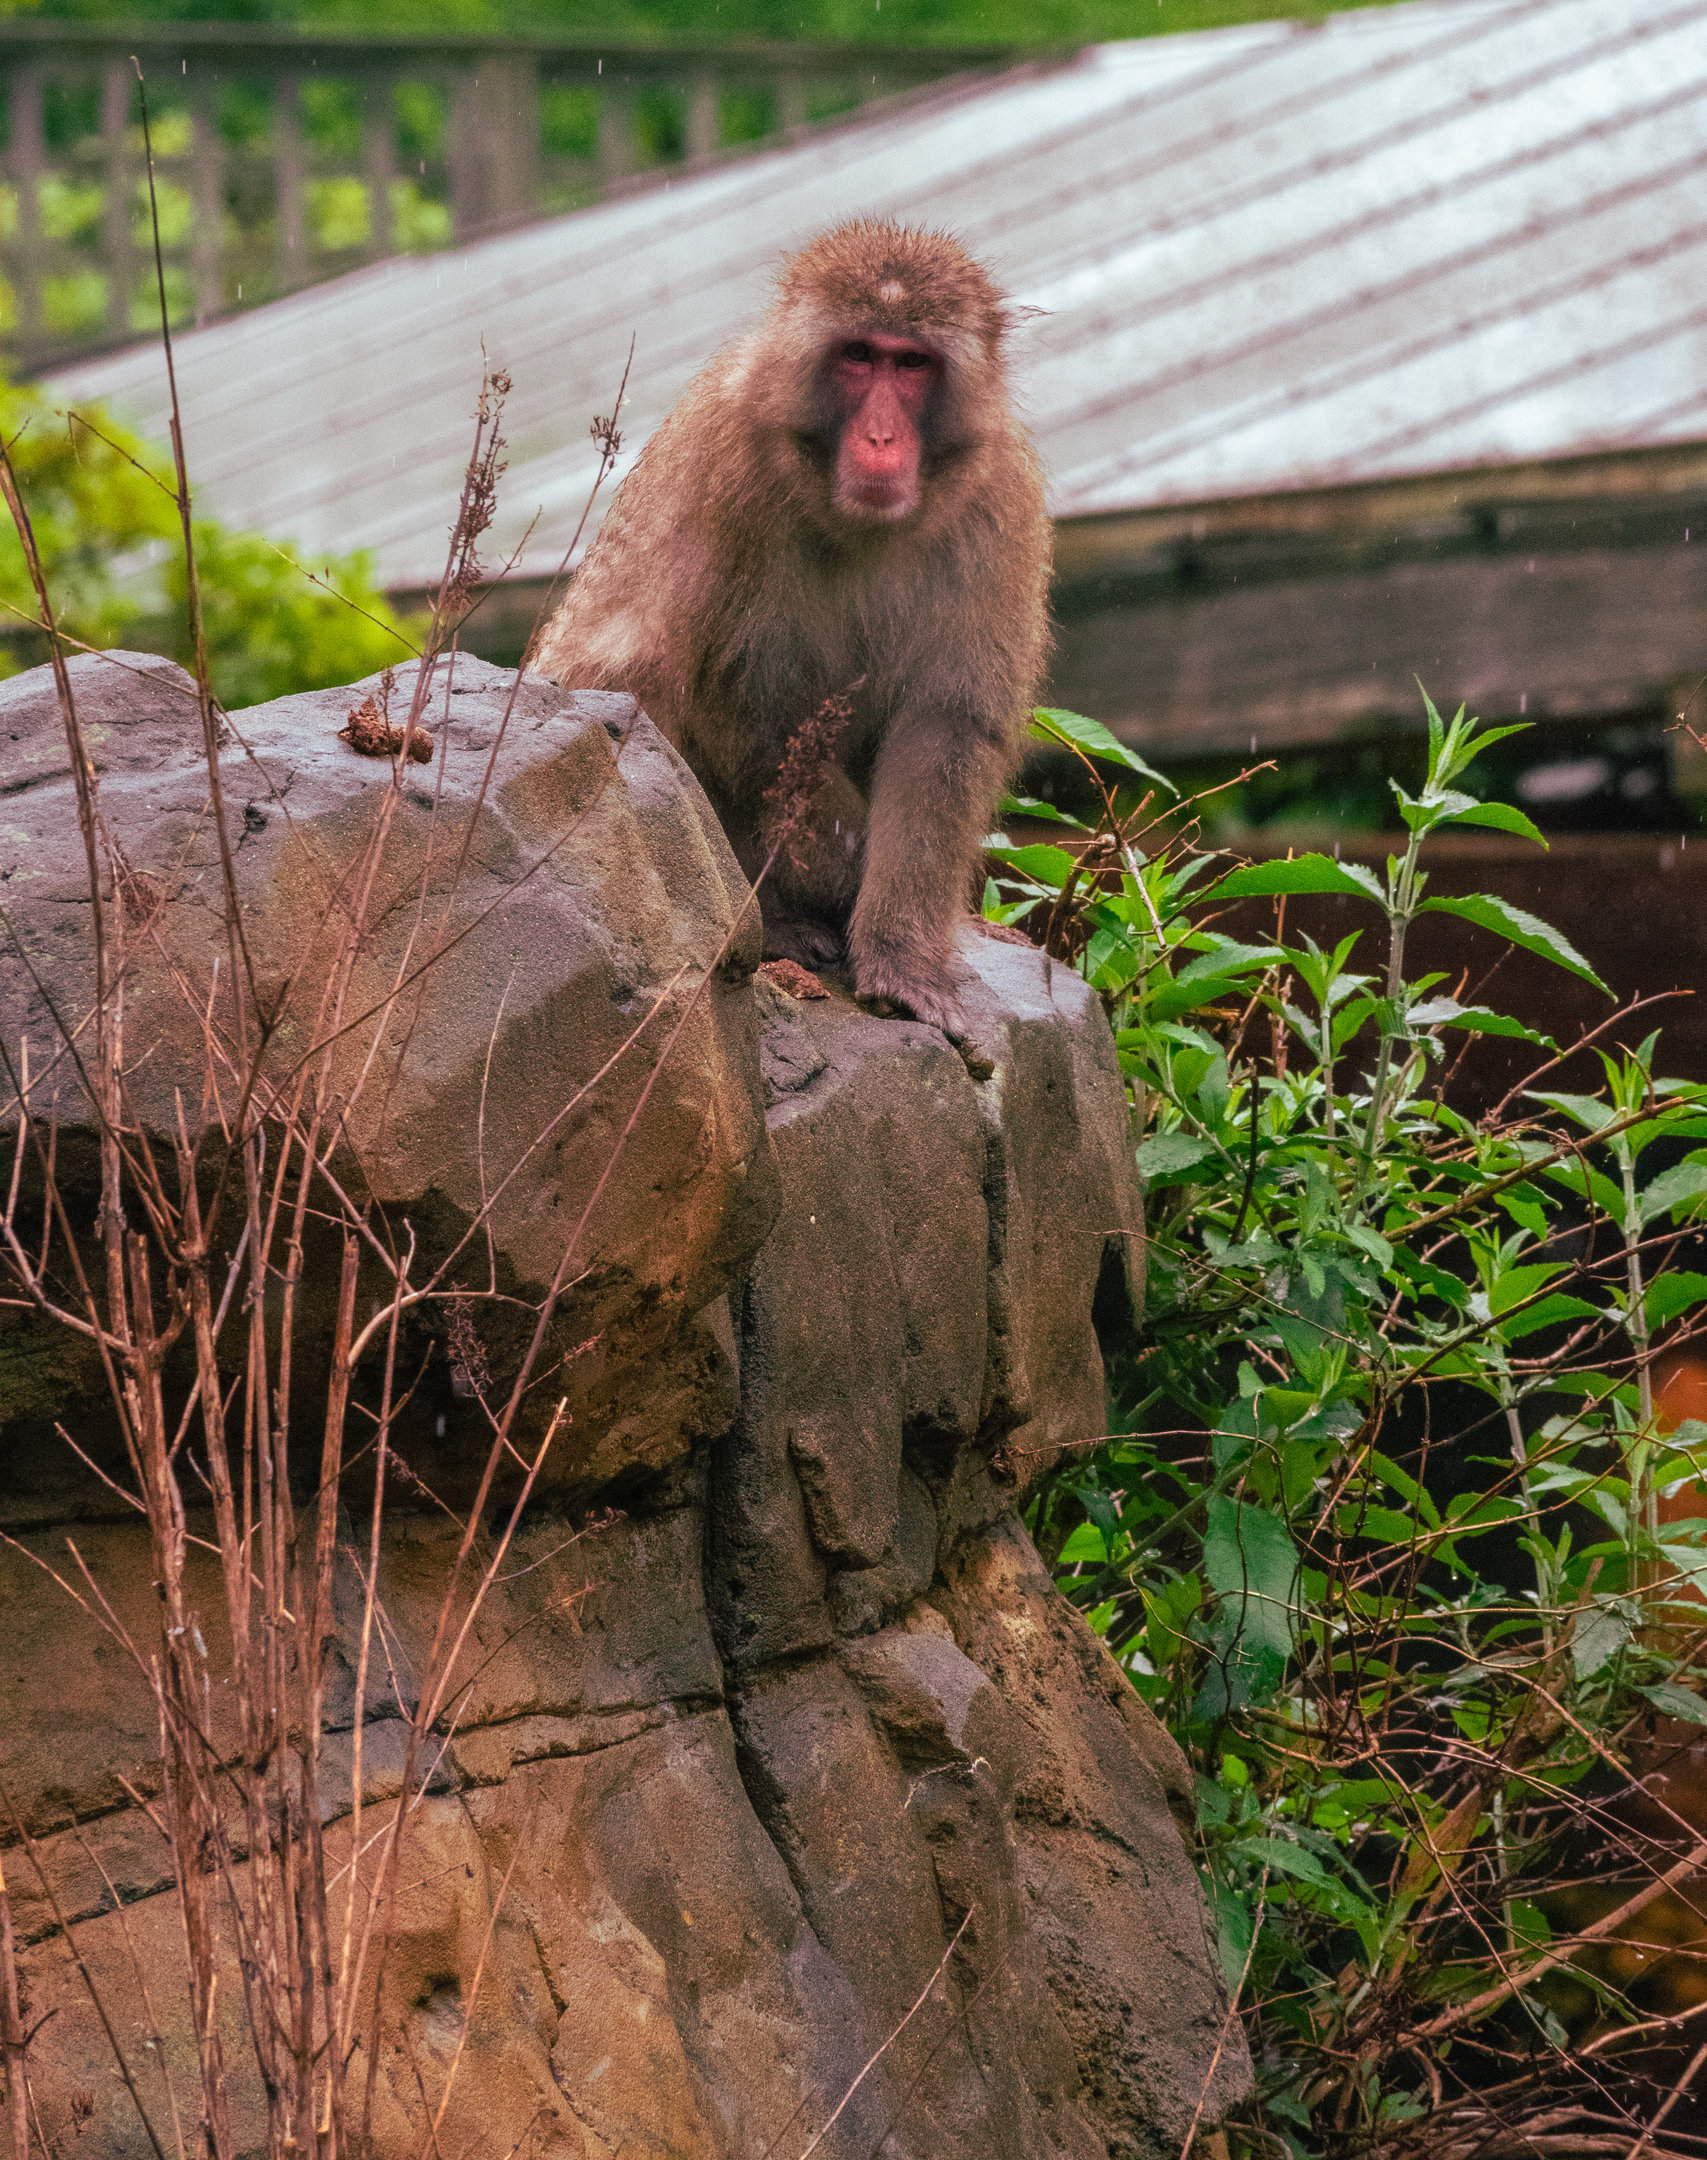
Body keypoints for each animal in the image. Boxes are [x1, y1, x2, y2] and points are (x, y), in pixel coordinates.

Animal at [534, 218, 1052, 1039]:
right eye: (858, 355)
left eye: (911, 363)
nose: (881, 438)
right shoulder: (725, 462)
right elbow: (733, 699)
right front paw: (841, 871)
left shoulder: (999, 503)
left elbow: (945, 726)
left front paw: (901, 956)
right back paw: (774, 923)